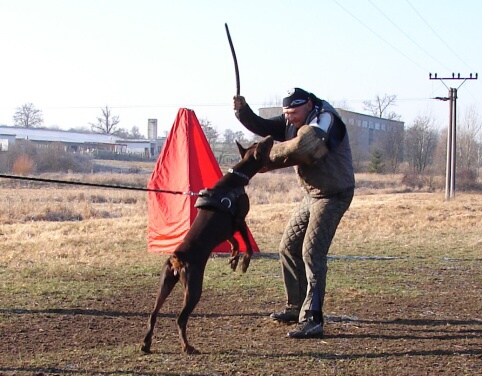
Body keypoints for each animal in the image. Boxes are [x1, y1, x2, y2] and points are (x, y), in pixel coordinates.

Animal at [141, 136, 274, 356]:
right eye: (263, 145)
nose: (270, 137)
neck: (236, 179)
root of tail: (177, 259)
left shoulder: (228, 229)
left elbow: (234, 242)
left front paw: (233, 259)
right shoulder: (240, 220)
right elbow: (247, 244)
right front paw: (244, 262)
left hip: (165, 283)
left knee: (153, 314)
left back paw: (146, 344)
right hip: (194, 289)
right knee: (180, 319)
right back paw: (187, 347)